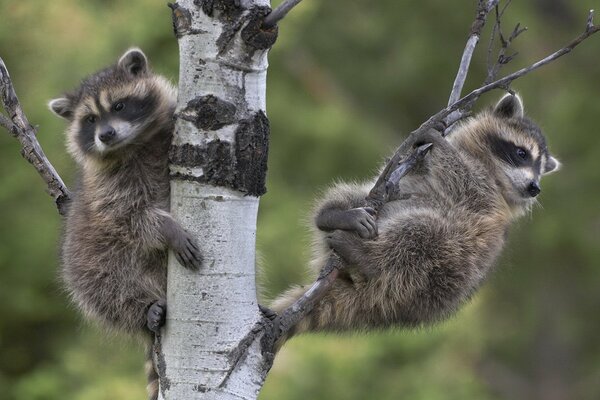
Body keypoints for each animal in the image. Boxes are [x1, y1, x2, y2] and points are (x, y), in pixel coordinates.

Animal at [47, 47, 202, 400]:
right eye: (90, 120)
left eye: (118, 106)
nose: (105, 134)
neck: (133, 144)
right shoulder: (107, 190)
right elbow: (130, 218)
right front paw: (167, 229)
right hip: (87, 260)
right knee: (103, 287)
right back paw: (143, 311)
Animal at [272, 93, 564, 340]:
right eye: (522, 153)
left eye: (540, 170)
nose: (535, 187)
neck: (492, 171)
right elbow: (403, 168)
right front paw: (432, 140)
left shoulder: (488, 201)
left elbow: (465, 182)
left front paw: (440, 143)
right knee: (356, 195)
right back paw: (334, 215)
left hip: (442, 274)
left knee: (422, 236)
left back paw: (369, 258)